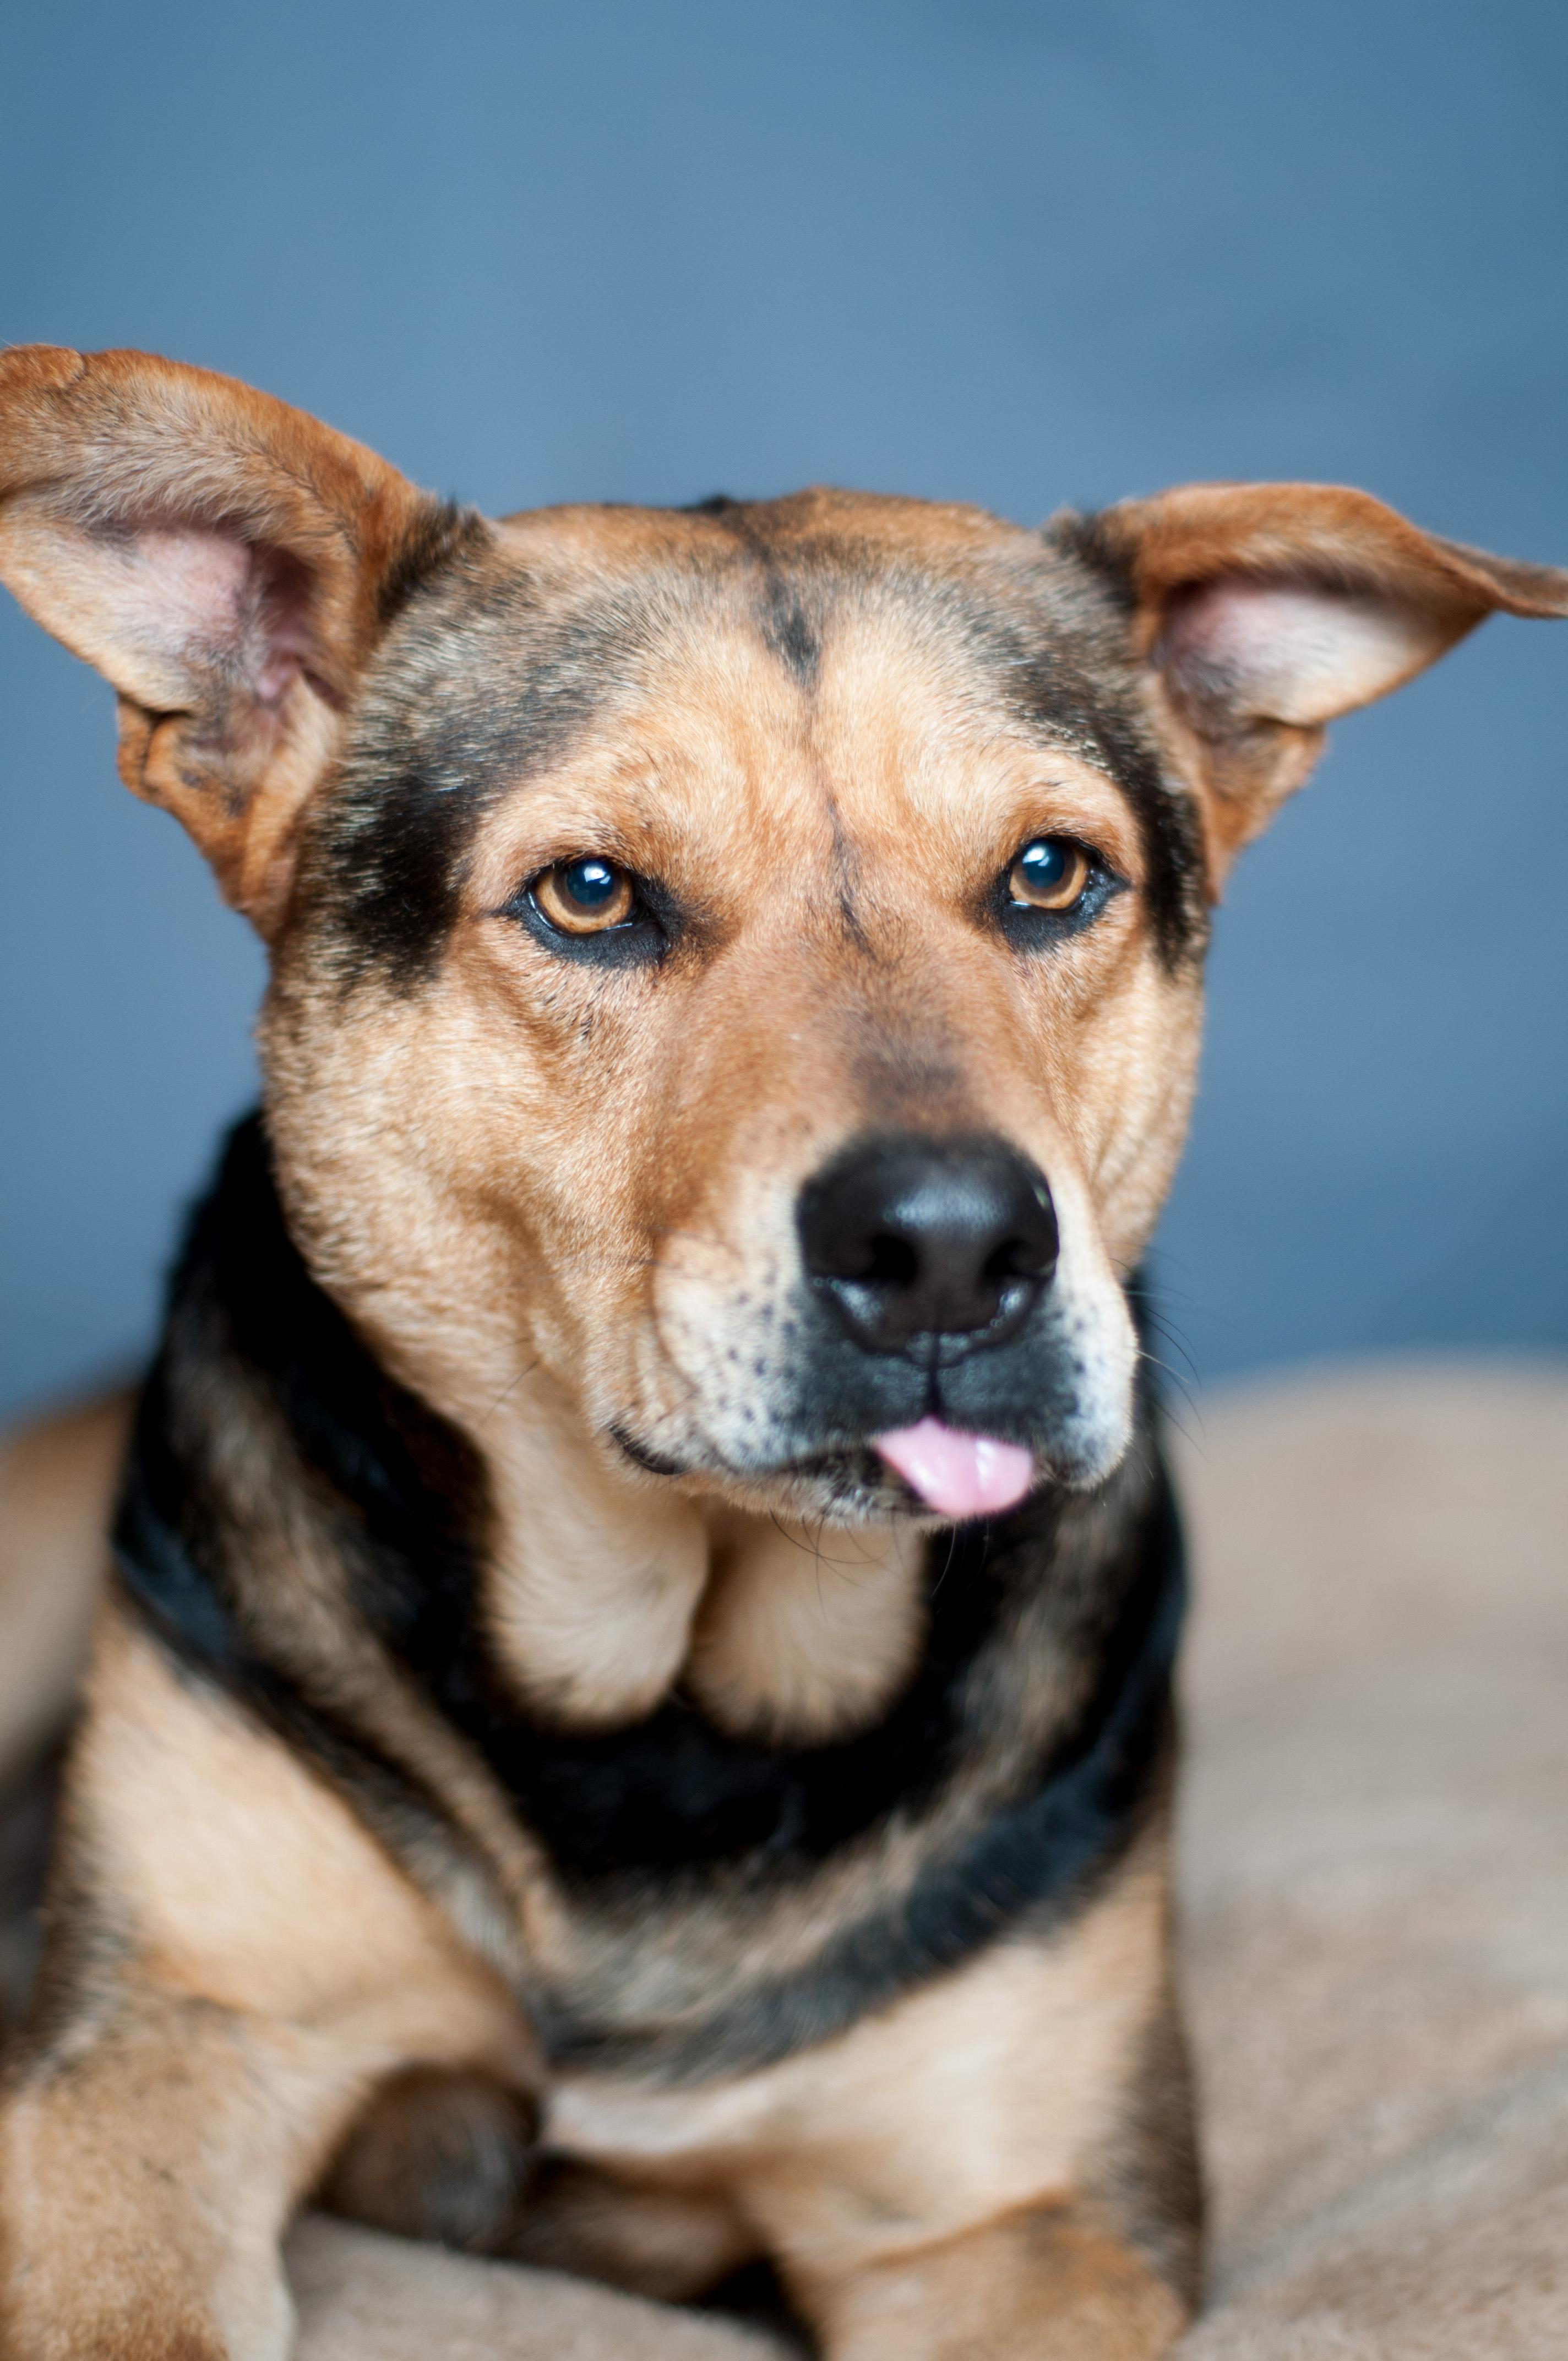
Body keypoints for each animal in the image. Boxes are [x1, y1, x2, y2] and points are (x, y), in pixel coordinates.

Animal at [0, 338, 1558, 2361]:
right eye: (590, 895)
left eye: (1049, 874)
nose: (953, 1250)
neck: (672, 1712)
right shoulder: (151, 2045)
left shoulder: (1019, 2214)